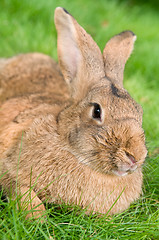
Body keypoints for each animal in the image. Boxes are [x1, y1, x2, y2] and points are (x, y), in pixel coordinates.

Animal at [0, 7, 147, 218]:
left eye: (140, 112)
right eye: (96, 111)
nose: (135, 157)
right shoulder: (9, 170)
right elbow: (25, 195)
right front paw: (39, 220)